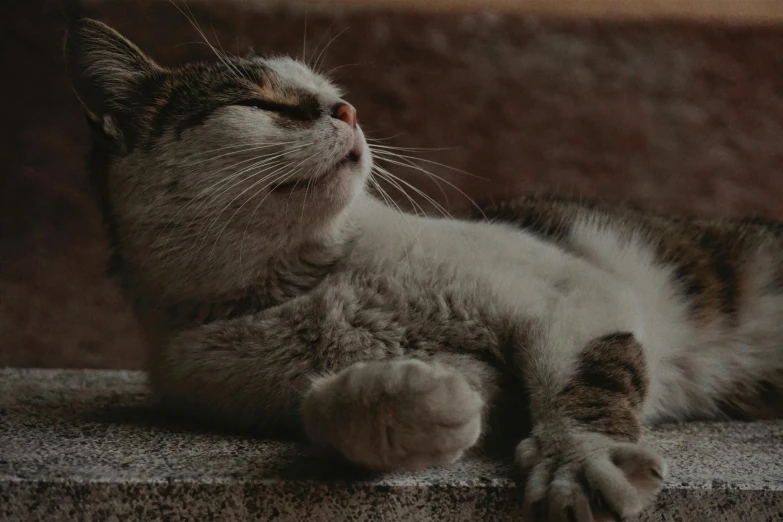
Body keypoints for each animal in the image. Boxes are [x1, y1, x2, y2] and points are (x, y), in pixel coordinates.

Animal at [64, 17, 780, 520]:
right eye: (265, 103)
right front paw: (420, 401)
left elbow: (580, 383)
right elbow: (330, 407)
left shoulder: (573, 290)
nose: (348, 111)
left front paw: (581, 460)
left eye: (334, 96)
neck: (309, 282)